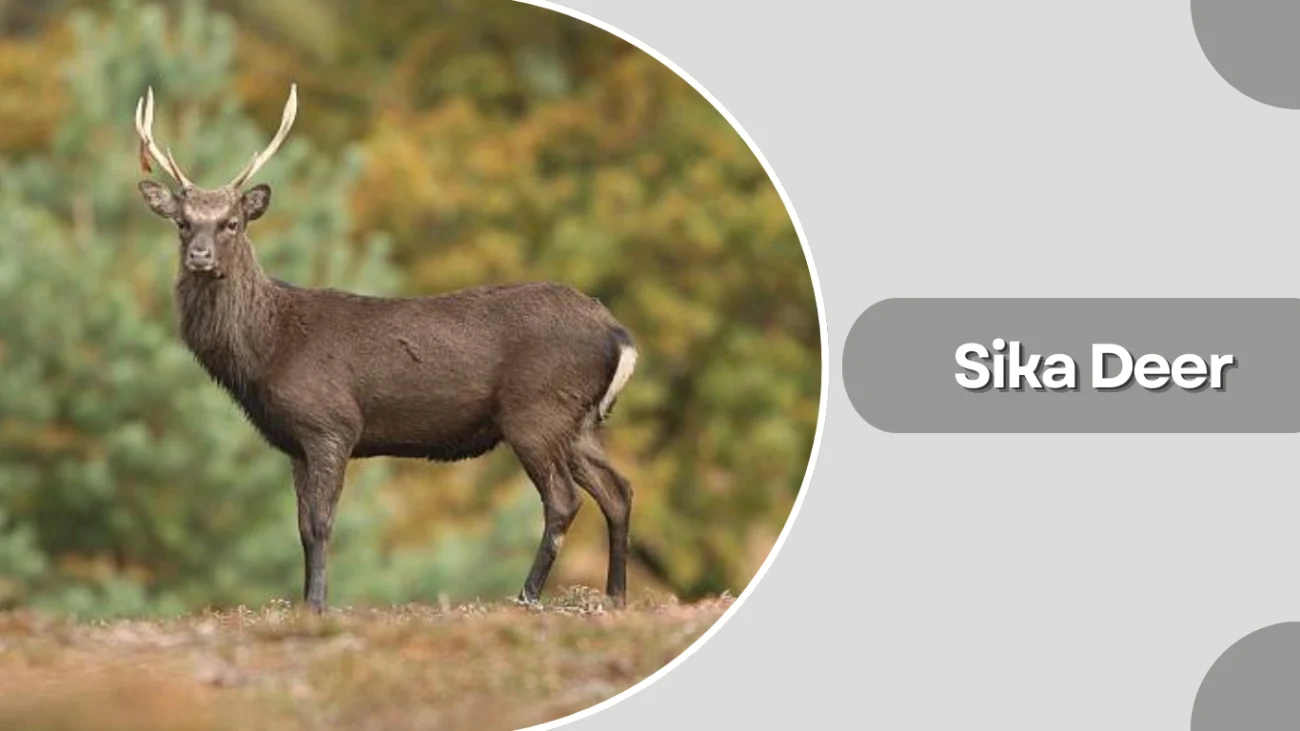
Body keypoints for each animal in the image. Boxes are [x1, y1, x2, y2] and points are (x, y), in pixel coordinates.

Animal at [132, 84, 639, 613]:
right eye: (183, 223)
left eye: (231, 223)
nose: (200, 255)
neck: (266, 349)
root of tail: (618, 334)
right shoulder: (296, 442)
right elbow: (301, 528)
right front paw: (306, 601)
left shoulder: (331, 424)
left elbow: (320, 524)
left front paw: (318, 605)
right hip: (579, 422)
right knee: (618, 490)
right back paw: (616, 596)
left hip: (536, 411)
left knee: (564, 500)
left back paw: (527, 596)